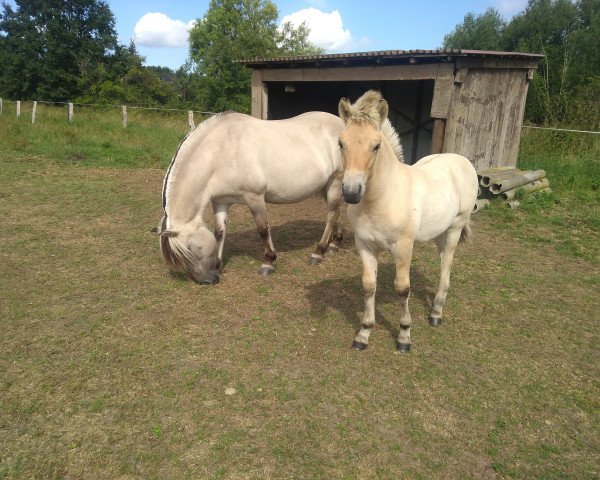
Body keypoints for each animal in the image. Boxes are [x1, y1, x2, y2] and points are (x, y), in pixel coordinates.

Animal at [152, 111, 344, 284]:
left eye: (192, 248)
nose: (207, 280)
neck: (222, 151)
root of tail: (341, 123)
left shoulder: (255, 198)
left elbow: (263, 229)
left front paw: (268, 262)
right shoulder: (220, 201)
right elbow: (219, 232)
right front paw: (218, 263)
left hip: (335, 181)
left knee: (331, 215)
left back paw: (318, 252)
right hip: (324, 187)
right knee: (335, 213)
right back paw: (334, 244)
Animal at [338, 91, 478, 352]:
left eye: (376, 146)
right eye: (341, 143)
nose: (351, 192)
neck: (383, 198)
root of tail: (461, 160)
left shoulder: (403, 247)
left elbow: (402, 289)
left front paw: (404, 336)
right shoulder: (365, 245)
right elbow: (368, 286)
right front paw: (363, 334)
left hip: (455, 227)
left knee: (447, 263)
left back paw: (436, 313)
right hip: (439, 231)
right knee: (442, 259)